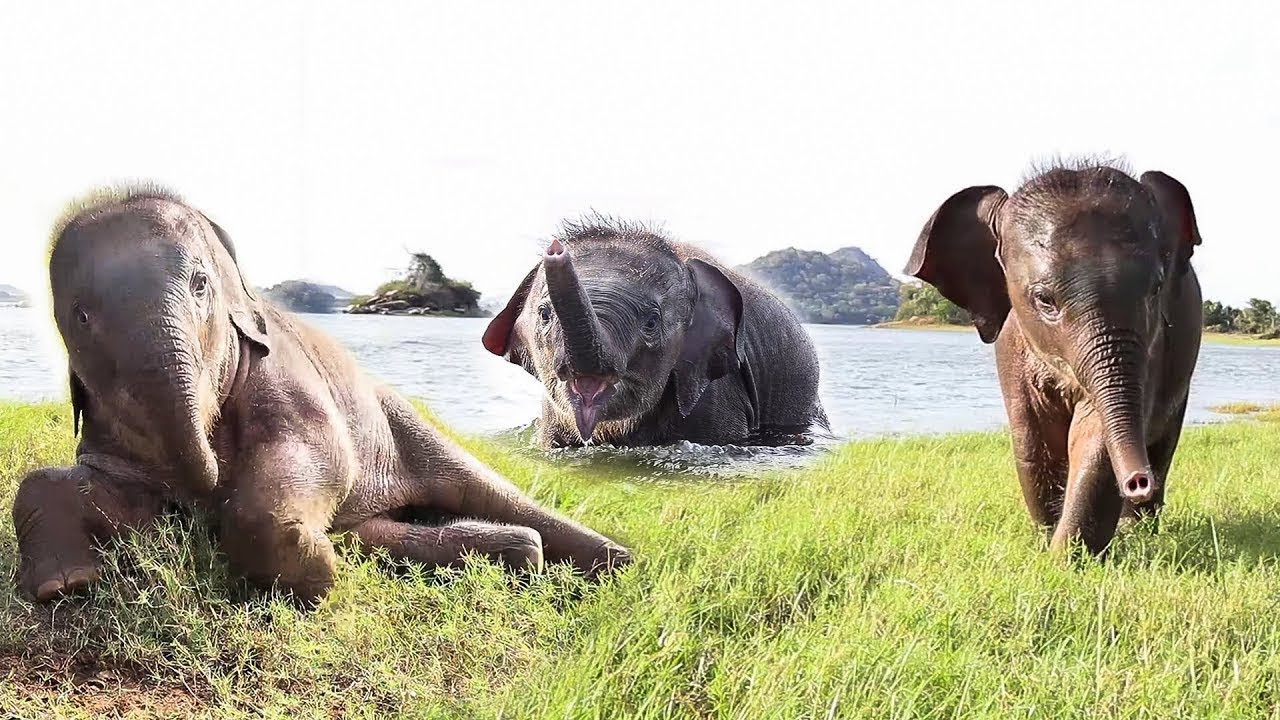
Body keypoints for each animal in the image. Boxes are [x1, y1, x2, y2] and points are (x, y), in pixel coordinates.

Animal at [12, 186, 631, 605]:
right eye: (81, 316)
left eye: (200, 285)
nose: (198, 501)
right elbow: (77, 484)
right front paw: (65, 585)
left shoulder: (284, 373)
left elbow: (323, 457)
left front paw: (314, 581)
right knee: (376, 532)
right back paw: (518, 552)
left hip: (404, 420)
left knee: (484, 487)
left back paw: (615, 562)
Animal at [905, 160, 1203, 556]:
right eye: (1045, 299)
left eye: (1156, 289)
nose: (1139, 482)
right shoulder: (1011, 346)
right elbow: (1034, 439)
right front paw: (1047, 543)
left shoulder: (1154, 346)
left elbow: (1094, 439)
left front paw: (1064, 558)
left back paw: (1136, 528)